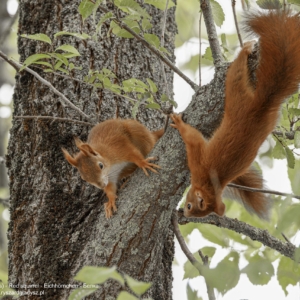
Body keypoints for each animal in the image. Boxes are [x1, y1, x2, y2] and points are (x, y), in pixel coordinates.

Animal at [170, 10, 300, 219]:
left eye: (191, 207)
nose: (186, 215)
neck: (211, 184)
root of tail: (261, 104)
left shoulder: (198, 164)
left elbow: (193, 139)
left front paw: (180, 124)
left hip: (237, 97)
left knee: (236, 75)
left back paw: (244, 52)